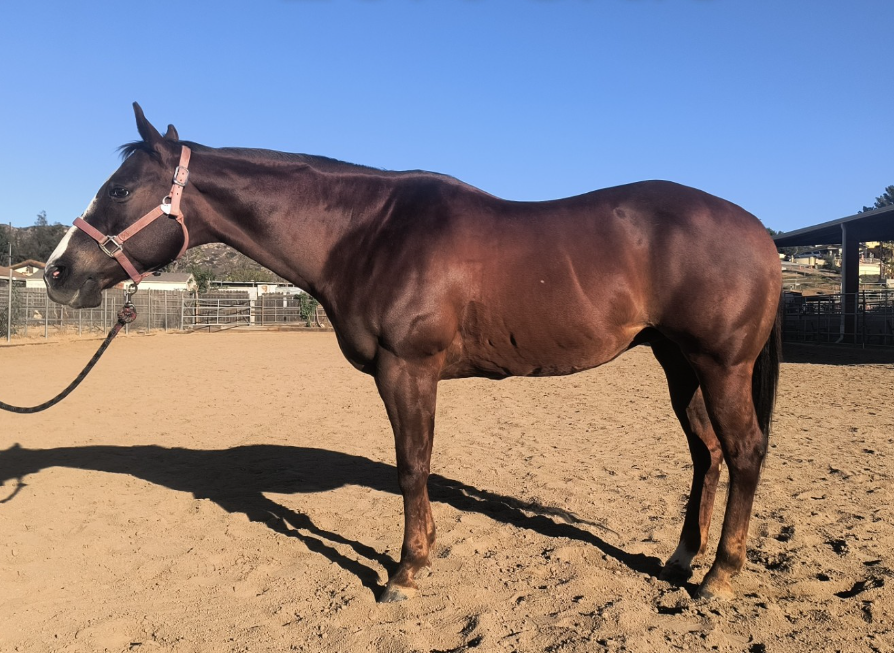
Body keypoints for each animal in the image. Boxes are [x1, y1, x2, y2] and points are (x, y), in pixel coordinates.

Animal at [44, 103, 782, 603]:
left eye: (118, 189)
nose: (57, 272)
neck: (367, 233)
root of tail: (759, 232)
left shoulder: (407, 370)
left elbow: (411, 466)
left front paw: (406, 570)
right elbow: (416, 466)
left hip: (720, 367)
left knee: (743, 452)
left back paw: (720, 575)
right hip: (679, 365)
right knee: (707, 455)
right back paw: (683, 559)